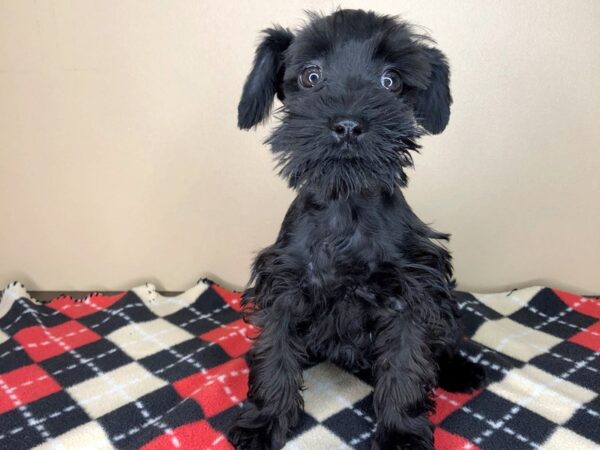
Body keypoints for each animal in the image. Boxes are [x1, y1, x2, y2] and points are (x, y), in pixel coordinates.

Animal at [227, 8, 486, 448]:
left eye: (390, 80)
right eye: (311, 75)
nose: (348, 124)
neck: (345, 209)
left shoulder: (411, 294)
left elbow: (405, 366)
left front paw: (401, 431)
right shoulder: (283, 288)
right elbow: (275, 356)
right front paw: (265, 419)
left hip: (444, 300)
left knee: (447, 340)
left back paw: (459, 369)